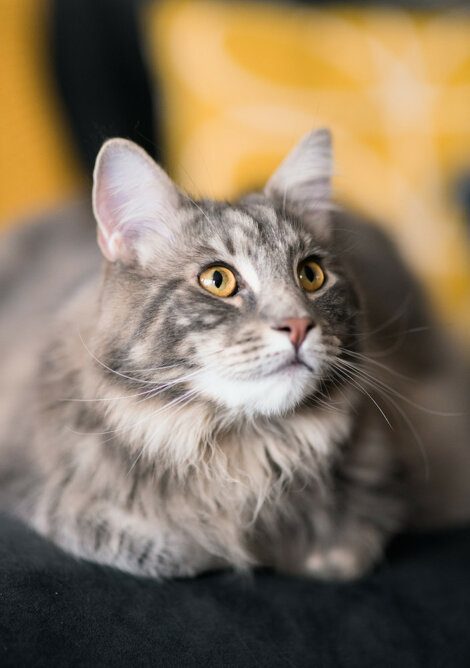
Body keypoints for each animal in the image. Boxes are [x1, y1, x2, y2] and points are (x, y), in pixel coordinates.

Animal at [0, 130, 470, 580]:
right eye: (218, 280)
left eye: (311, 275)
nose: (298, 325)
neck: (241, 451)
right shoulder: (30, 485)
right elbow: (156, 544)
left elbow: (343, 552)